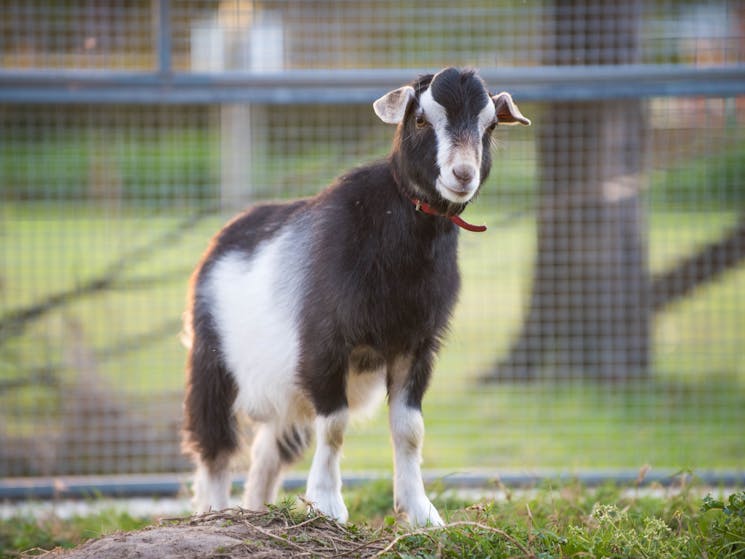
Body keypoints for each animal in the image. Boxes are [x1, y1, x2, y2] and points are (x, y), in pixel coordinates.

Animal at [180, 68, 528, 528]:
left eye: (489, 126)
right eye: (421, 119)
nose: (462, 174)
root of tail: (220, 241)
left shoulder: (415, 347)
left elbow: (410, 430)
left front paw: (420, 511)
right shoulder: (324, 346)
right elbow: (335, 426)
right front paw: (328, 504)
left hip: (286, 391)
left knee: (267, 451)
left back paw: (255, 511)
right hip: (212, 364)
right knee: (215, 447)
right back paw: (217, 513)